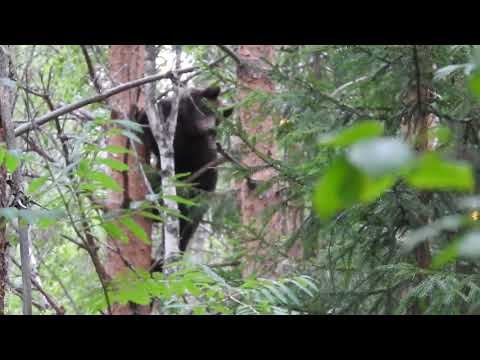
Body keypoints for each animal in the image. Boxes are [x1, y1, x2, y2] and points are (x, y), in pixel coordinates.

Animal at [135, 87, 232, 256]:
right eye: (207, 108)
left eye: (218, 119)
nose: (211, 130)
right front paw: (140, 115)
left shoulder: (193, 147)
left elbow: (170, 146)